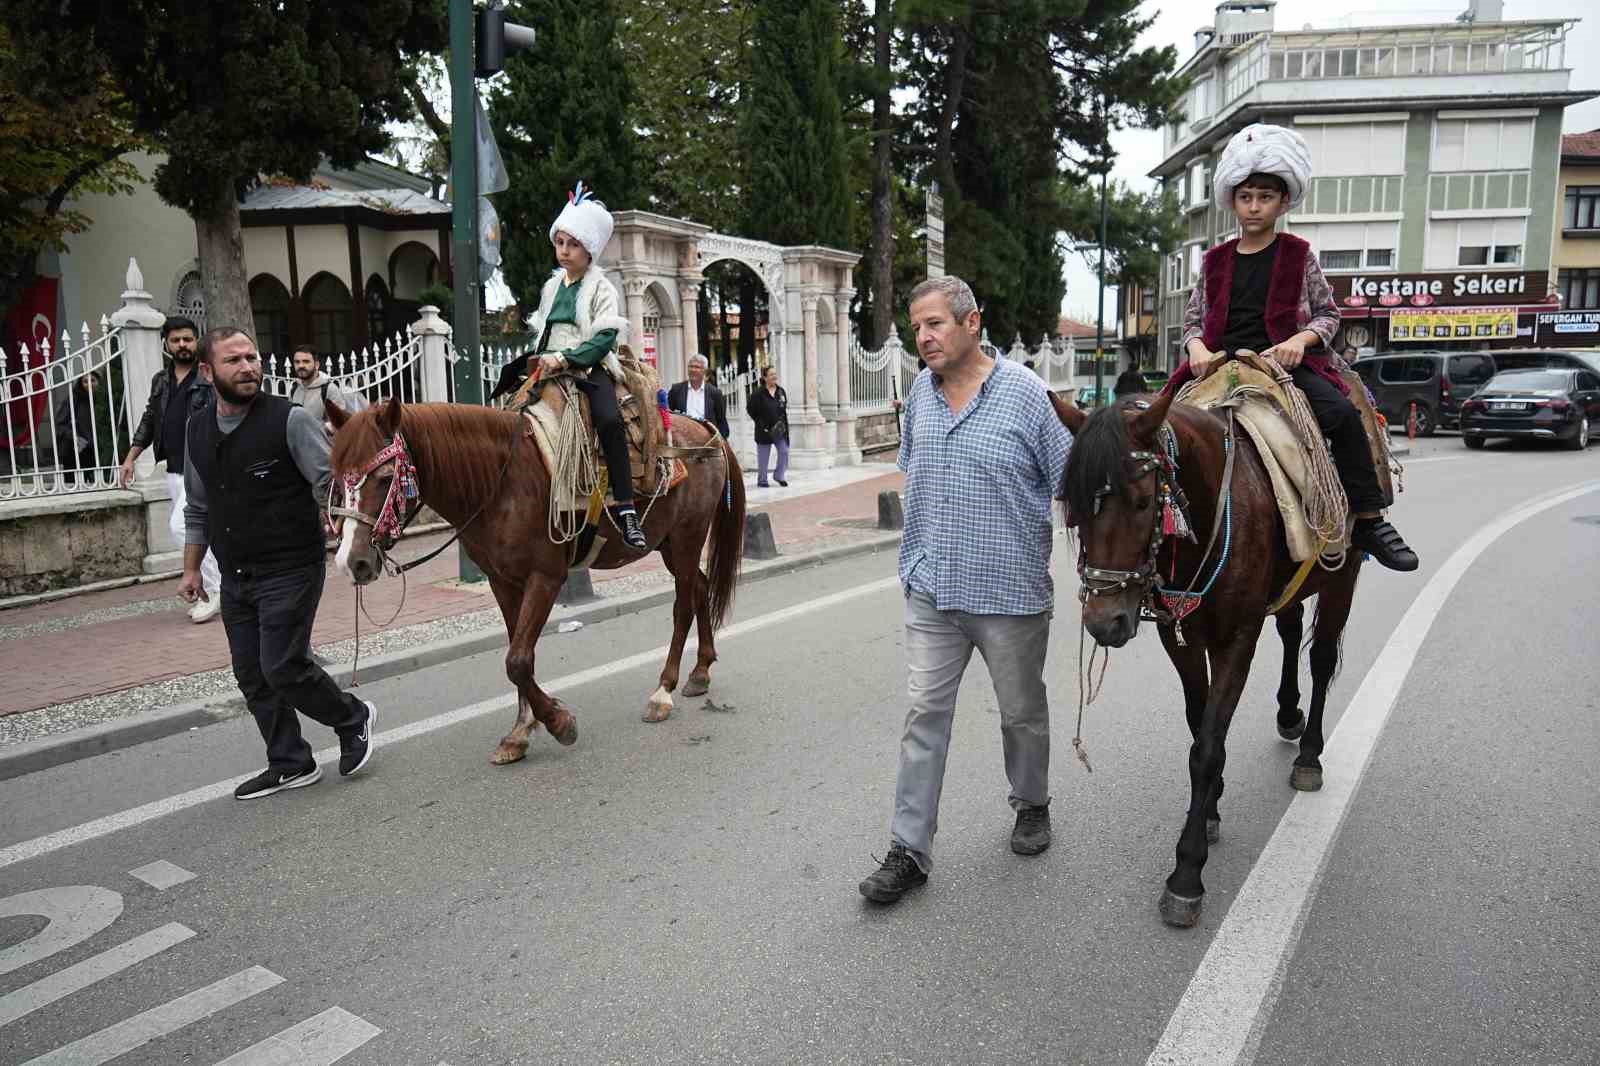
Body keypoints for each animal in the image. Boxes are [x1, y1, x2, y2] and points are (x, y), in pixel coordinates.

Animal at [326, 393, 748, 758]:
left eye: (384, 477)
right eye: (336, 477)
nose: (351, 561)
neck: (501, 484)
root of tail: (704, 430)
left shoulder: (545, 578)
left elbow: (517, 660)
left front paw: (558, 721)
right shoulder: (502, 581)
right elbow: (517, 652)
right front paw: (521, 730)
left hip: (687, 537)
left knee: (682, 607)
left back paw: (663, 691)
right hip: (668, 545)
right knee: (700, 588)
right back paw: (700, 672)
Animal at [1049, 385, 1363, 928]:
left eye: (1142, 502)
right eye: (1074, 507)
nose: (1104, 623)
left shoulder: (1238, 637)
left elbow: (1209, 747)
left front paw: (1187, 871)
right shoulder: (1181, 635)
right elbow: (1200, 727)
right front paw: (1211, 806)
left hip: (1341, 575)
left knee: (1322, 659)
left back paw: (1309, 756)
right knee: (1291, 630)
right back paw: (1288, 713)